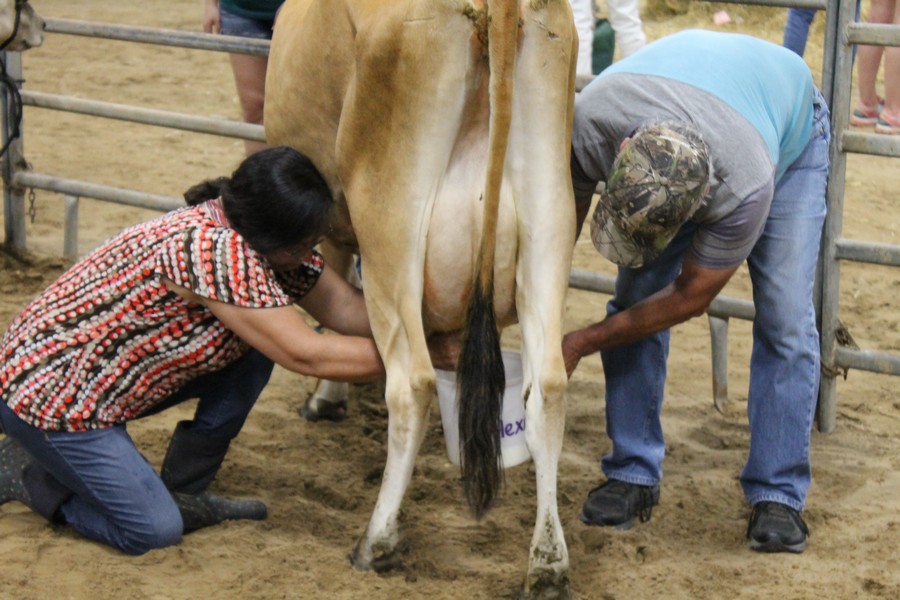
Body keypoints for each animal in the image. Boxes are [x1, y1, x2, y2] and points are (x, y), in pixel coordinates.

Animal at [264, 2, 580, 596]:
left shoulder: (329, 216)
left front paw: (325, 400)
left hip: (391, 221)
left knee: (411, 383)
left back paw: (378, 541)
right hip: (550, 218)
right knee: (547, 388)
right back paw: (548, 563)